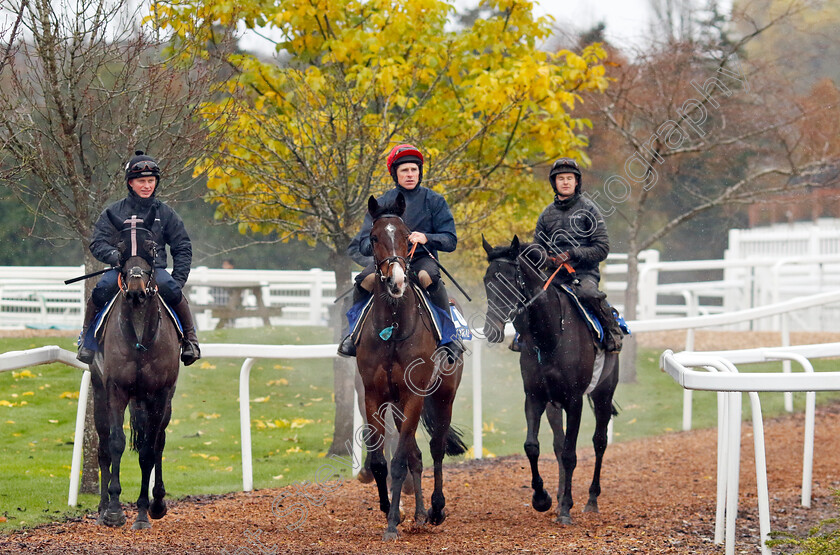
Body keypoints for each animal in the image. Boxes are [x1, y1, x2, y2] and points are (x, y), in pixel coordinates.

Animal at [89, 216, 180, 528]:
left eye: (152, 247)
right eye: (119, 248)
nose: (137, 289)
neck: (140, 334)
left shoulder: (160, 393)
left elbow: (149, 450)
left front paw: (145, 510)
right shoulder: (116, 388)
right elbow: (116, 443)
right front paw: (114, 509)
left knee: (158, 442)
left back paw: (157, 502)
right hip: (100, 393)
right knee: (103, 445)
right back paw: (102, 506)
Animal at [358, 193, 470, 540]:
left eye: (409, 237)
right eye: (374, 237)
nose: (396, 281)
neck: (393, 329)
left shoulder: (414, 396)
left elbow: (398, 462)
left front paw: (394, 523)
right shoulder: (375, 396)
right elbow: (380, 460)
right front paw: (389, 510)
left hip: (444, 396)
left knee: (436, 448)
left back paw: (436, 509)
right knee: (416, 454)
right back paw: (420, 513)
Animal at [480, 236, 616, 524]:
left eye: (509, 279)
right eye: (486, 280)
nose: (491, 330)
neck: (550, 336)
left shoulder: (575, 401)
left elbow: (570, 453)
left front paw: (565, 508)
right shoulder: (534, 396)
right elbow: (533, 446)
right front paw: (542, 498)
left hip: (603, 393)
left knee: (599, 441)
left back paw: (591, 499)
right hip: (555, 405)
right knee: (557, 443)